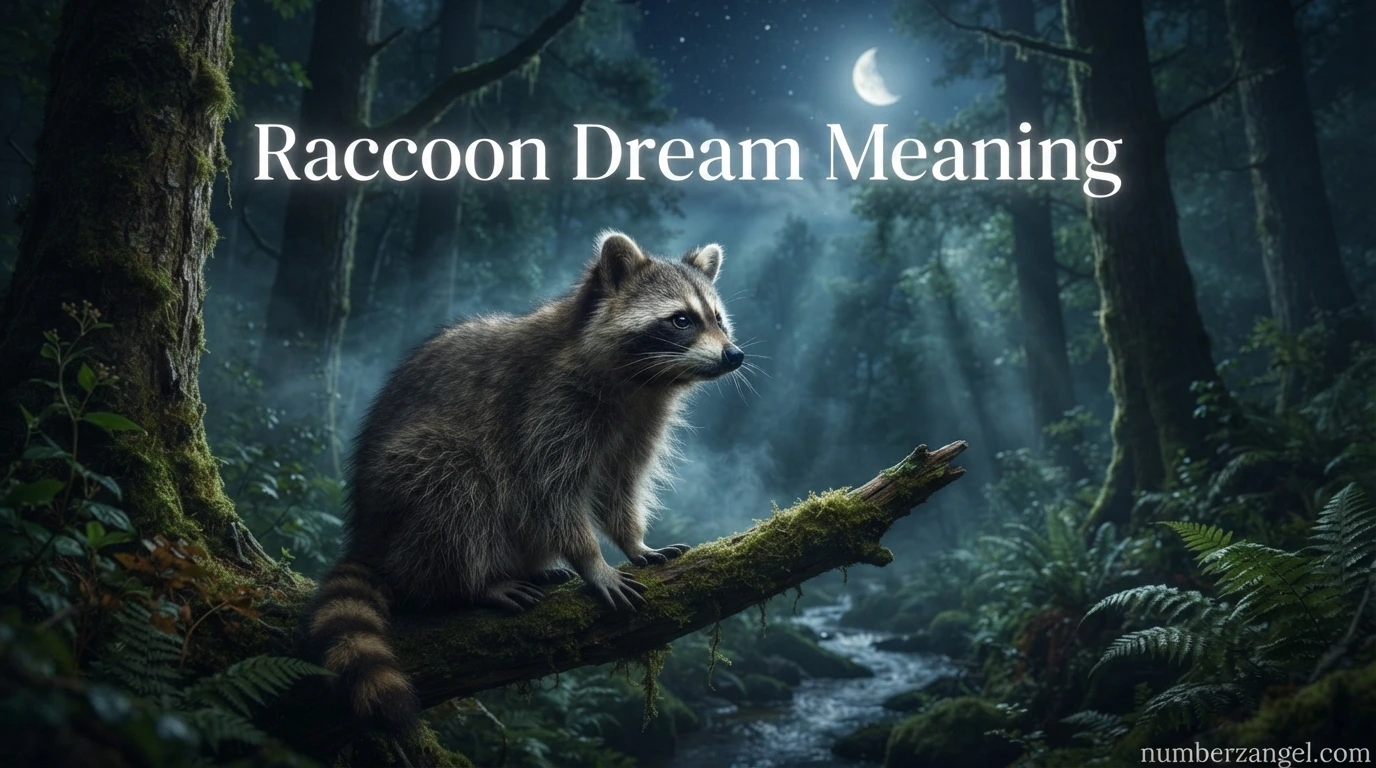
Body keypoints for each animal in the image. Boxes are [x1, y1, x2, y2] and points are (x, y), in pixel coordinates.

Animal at [299, 231, 745, 734]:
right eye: (681, 319)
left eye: (718, 318)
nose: (734, 355)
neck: (643, 381)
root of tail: (366, 535)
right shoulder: (544, 405)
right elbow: (549, 490)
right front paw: (593, 560)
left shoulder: (639, 422)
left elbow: (619, 486)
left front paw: (633, 540)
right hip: (410, 481)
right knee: (453, 485)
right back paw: (471, 583)